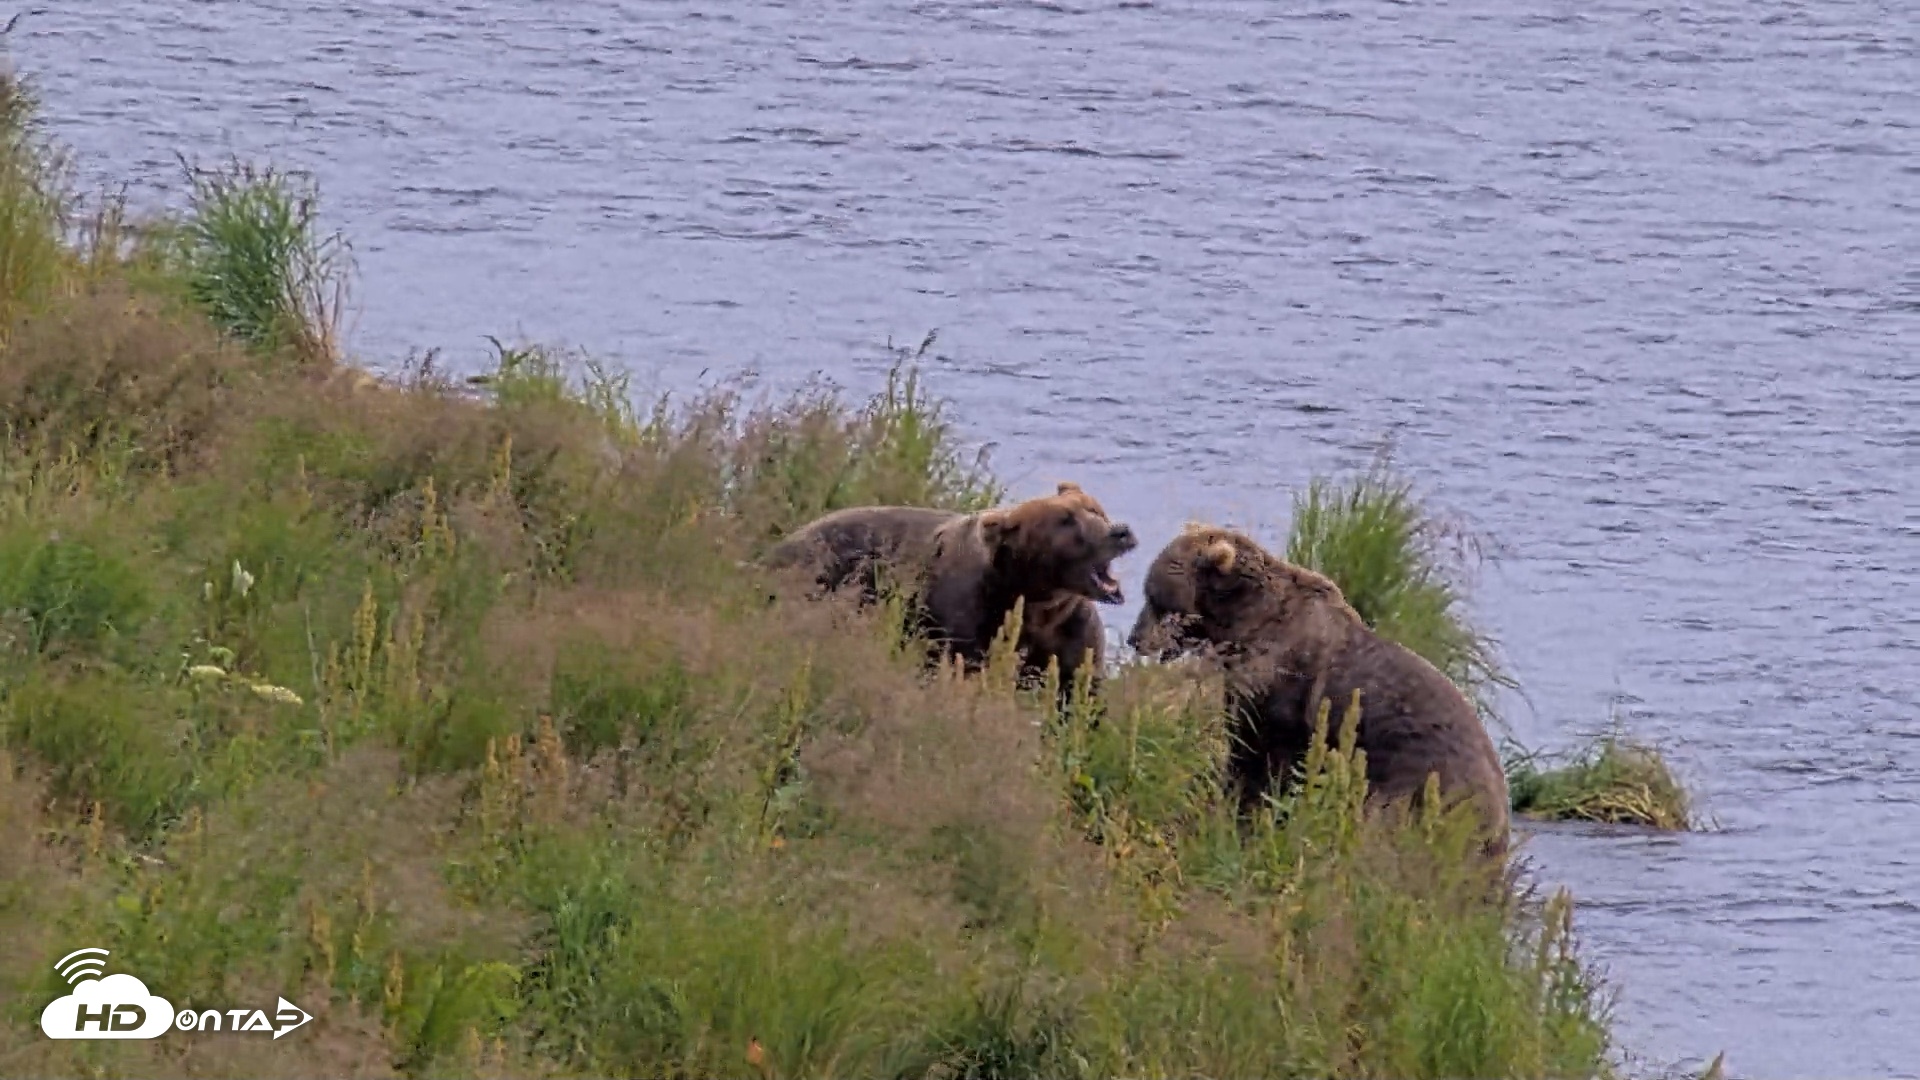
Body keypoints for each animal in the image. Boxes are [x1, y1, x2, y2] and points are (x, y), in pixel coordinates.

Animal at [763, 482, 1137, 700]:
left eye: (1095, 508)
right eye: (1065, 520)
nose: (1120, 531)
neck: (1038, 600)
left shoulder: (1072, 635)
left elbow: (1077, 692)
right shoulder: (968, 620)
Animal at [1126, 523, 1511, 857]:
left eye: (1155, 597)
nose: (1134, 639)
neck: (1243, 624)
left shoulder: (1282, 688)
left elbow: (1259, 758)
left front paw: (1242, 810)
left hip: (1424, 783)